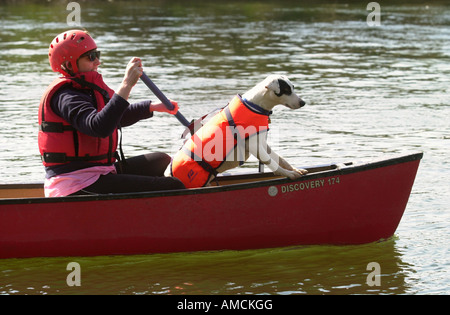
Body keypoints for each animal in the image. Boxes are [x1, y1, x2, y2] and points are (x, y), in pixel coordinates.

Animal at [171, 75, 308, 189]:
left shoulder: (262, 143)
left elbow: (280, 159)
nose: (303, 102)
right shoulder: (254, 146)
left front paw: (294, 169)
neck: (255, 105)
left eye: (293, 87)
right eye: (286, 90)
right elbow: (271, 162)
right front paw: (289, 174)